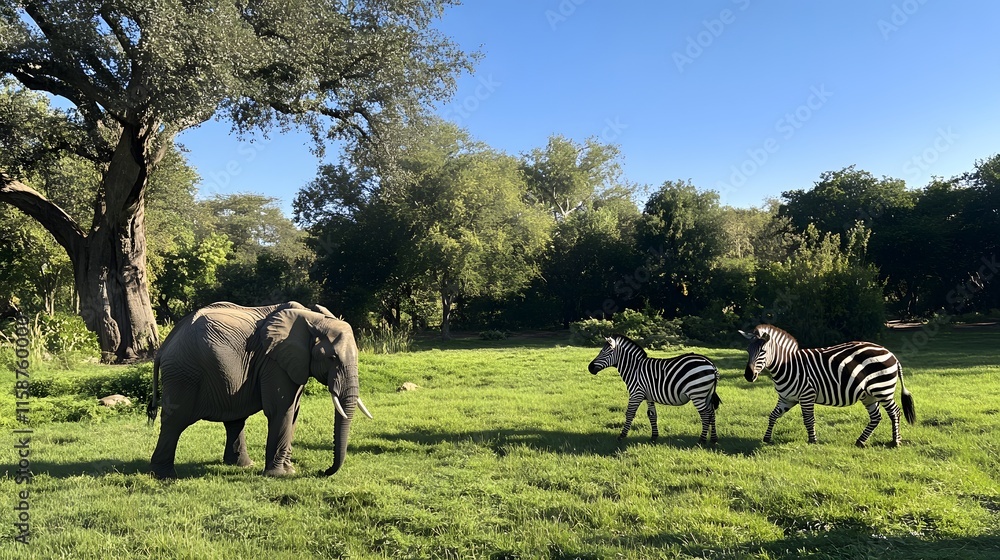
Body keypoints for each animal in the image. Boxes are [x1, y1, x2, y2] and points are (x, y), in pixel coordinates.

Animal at [588, 335, 721, 444]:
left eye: (604, 352)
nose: (590, 368)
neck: (634, 369)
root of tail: (711, 364)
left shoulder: (636, 393)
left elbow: (629, 413)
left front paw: (622, 436)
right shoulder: (648, 396)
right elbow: (652, 415)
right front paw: (654, 437)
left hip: (697, 394)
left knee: (705, 415)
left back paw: (701, 440)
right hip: (706, 394)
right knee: (711, 413)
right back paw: (714, 439)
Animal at [739, 324, 916, 447]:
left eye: (762, 351)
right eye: (747, 350)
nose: (748, 375)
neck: (787, 366)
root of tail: (890, 354)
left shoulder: (807, 395)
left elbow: (809, 419)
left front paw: (813, 440)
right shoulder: (787, 398)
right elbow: (773, 415)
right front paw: (766, 438)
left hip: (882, 390)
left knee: (895, 412)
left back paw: (895, 441)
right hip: (869, 396)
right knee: (876, 417)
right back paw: (860, 441)